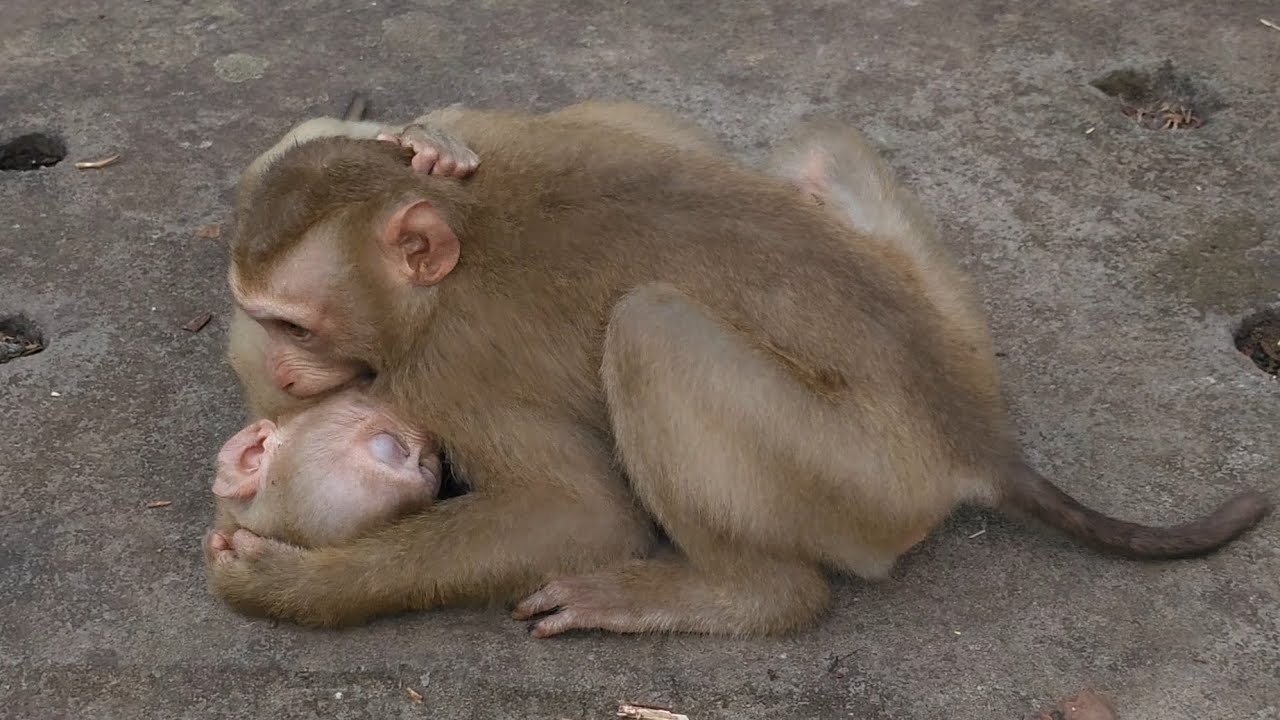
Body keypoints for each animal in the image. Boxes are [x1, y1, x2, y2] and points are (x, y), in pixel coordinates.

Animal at [205, 101, 1271, 637]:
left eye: (289, 322)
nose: (288, 373)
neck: (455, 244)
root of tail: (976, 437)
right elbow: (651, 128)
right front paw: (420, 133)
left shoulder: (441, 372)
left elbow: (581, 516)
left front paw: (289, 589)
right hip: (956, 331)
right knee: (817, 145)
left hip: (866, 482)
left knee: (651, 330)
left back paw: (744, 599)